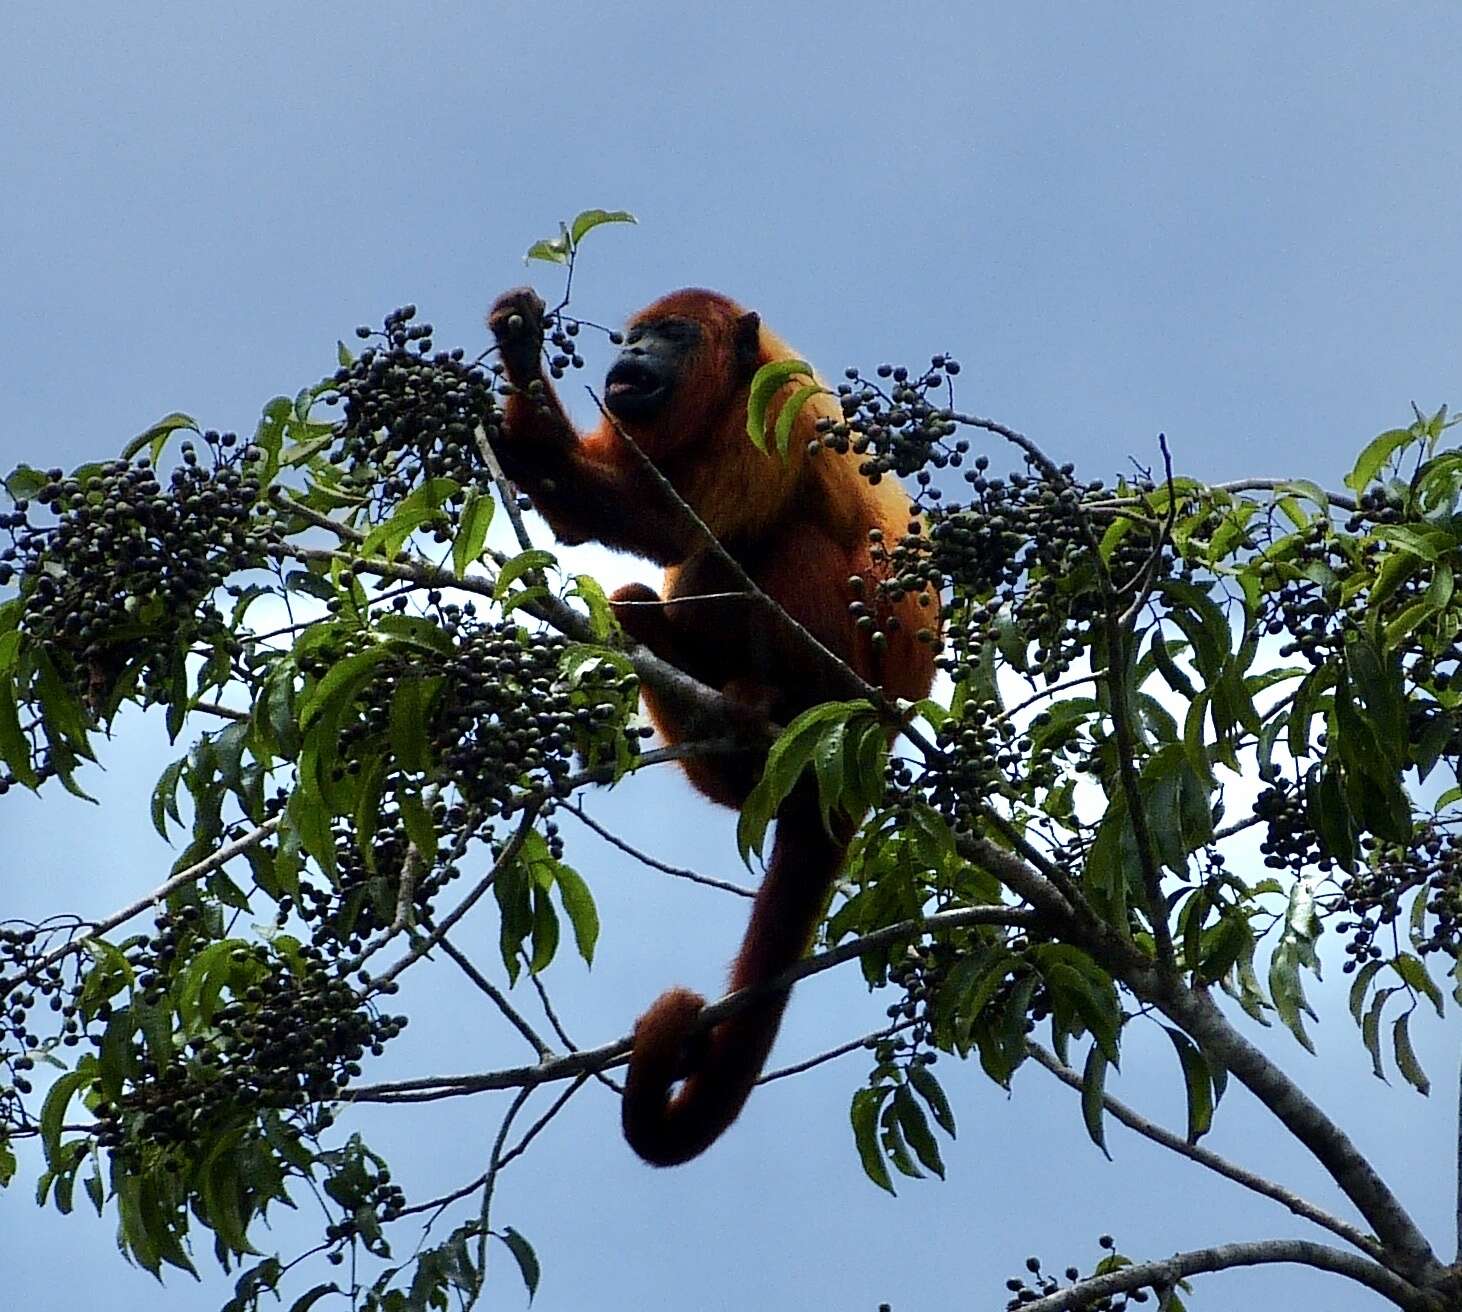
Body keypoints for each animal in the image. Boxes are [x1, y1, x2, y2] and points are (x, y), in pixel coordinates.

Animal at [485, 280, 929, 1164]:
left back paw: (769, 702)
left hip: (853, 675)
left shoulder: (777, 407)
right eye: (632, 335)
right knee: (646, 594)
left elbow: (673, 525)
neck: (724, 393)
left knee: (779, 542)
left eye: (673, 336)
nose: (630, 354)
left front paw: (521, 429)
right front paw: (517, 347)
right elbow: (605, 528)